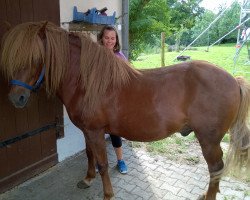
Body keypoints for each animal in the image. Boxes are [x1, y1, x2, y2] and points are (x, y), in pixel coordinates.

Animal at [1, 21, 250, 199]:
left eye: (35, 58)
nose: (16, 98)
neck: (87, 81)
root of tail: (233, 79)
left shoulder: (95, 131)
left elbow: (103, 163)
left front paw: (108, 194)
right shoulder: (88, 131)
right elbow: (90, 155)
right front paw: (88, 179)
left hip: (208, 139)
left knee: (216, 168)